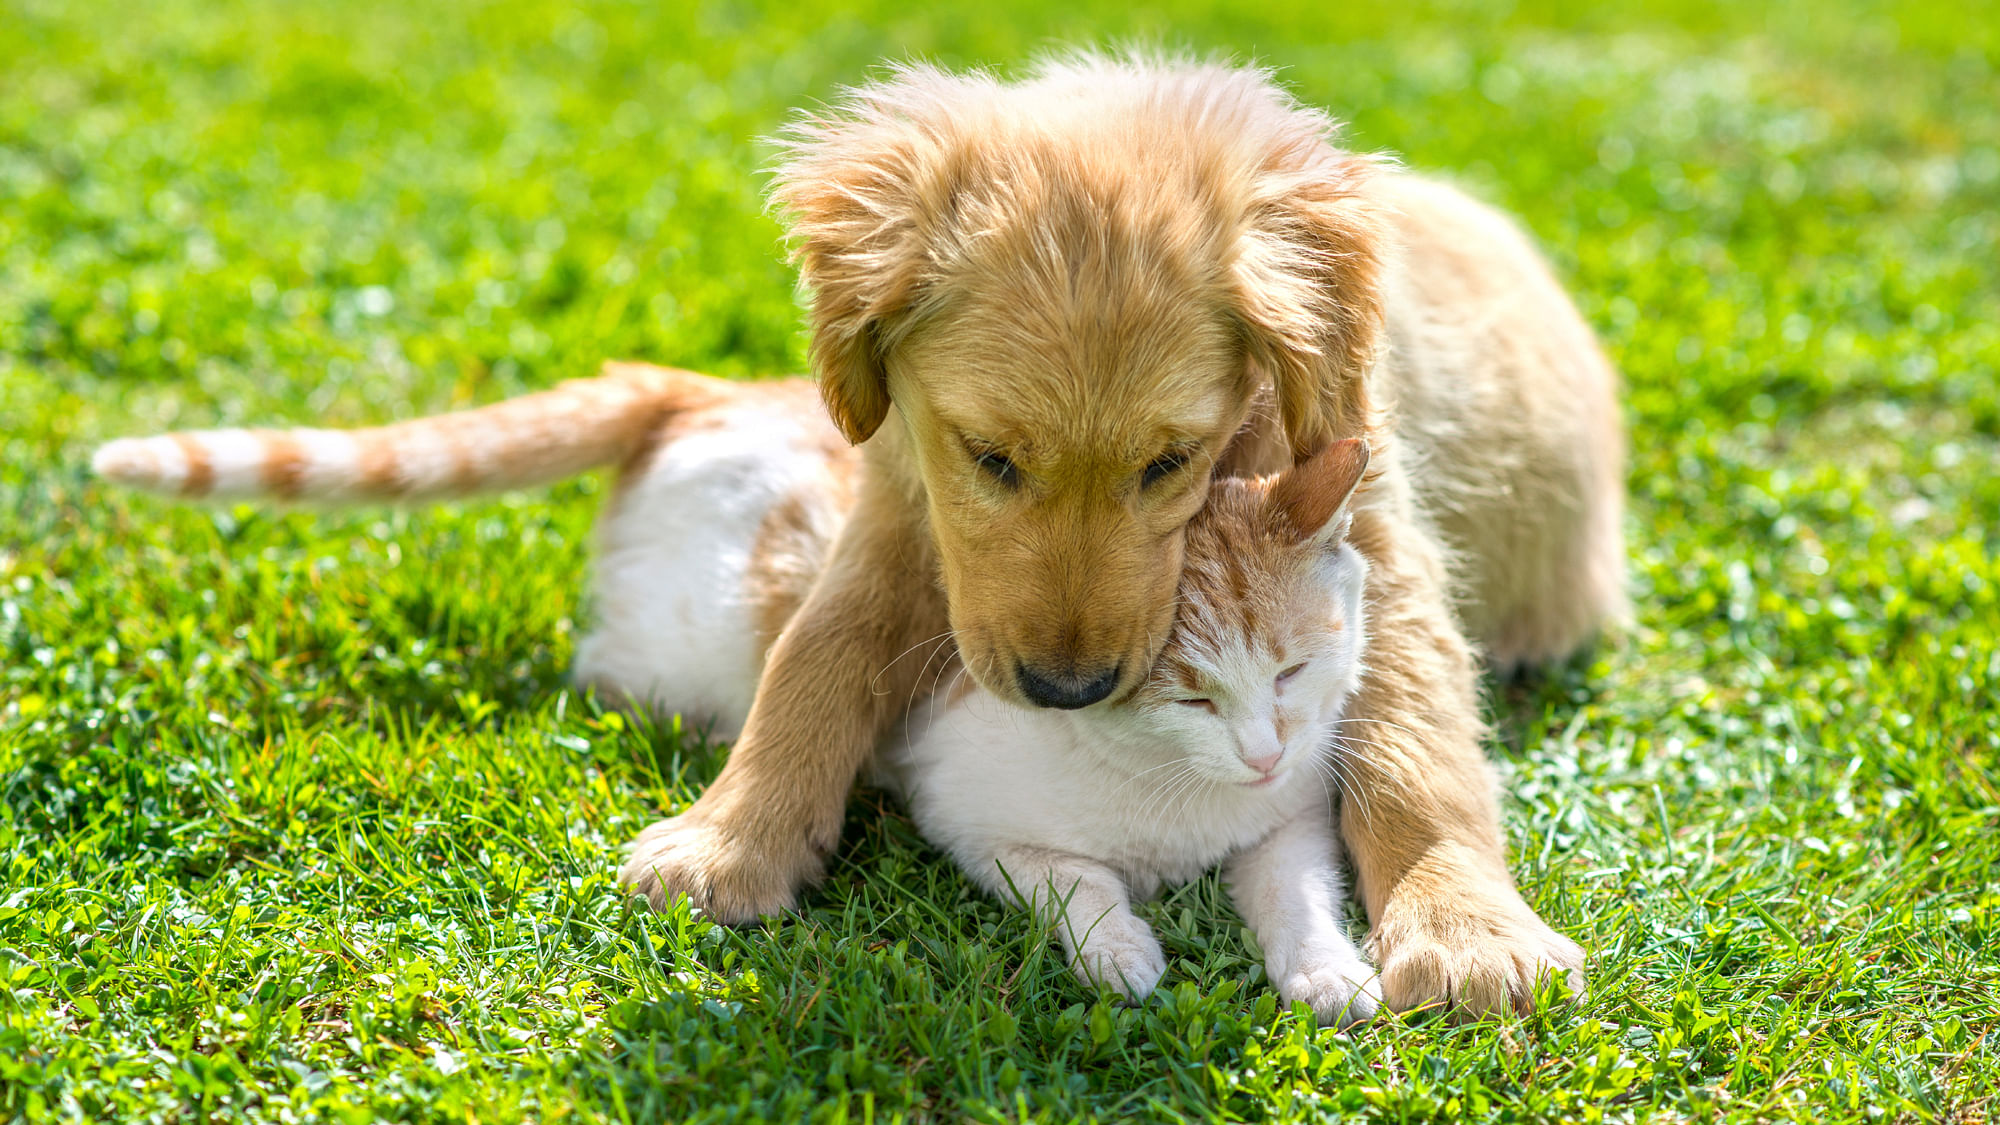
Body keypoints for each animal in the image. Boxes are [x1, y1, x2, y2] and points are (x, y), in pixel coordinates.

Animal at [90, 364, 1376, 1020]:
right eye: (1190, 698)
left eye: (1292, 671)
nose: (1262, 750)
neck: (1181, 809)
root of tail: (706, 383)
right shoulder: (967, 818)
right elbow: (1076, 885)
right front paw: (1123, 955)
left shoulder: (1290, 823)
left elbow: (1296, 895)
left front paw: (1328, 974)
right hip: (674, 653)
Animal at [620, 52, 1624, 1012]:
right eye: (989, 457)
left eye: (1168, 462)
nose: (1067, 692)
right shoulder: (905, 507)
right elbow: (816, 650)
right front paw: (729, 839)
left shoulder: (1372, 523)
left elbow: (1415, 732)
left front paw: (1467, 934)